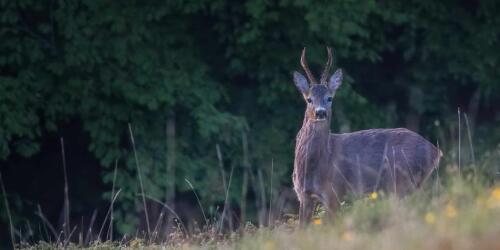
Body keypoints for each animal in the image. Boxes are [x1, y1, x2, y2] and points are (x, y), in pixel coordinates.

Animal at [292, 47, 442, 227]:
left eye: (330, 98)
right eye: (309, 99)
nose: (320, 112)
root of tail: (436, 151)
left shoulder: (335, 192)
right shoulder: (304, 196)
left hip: (402, 181)